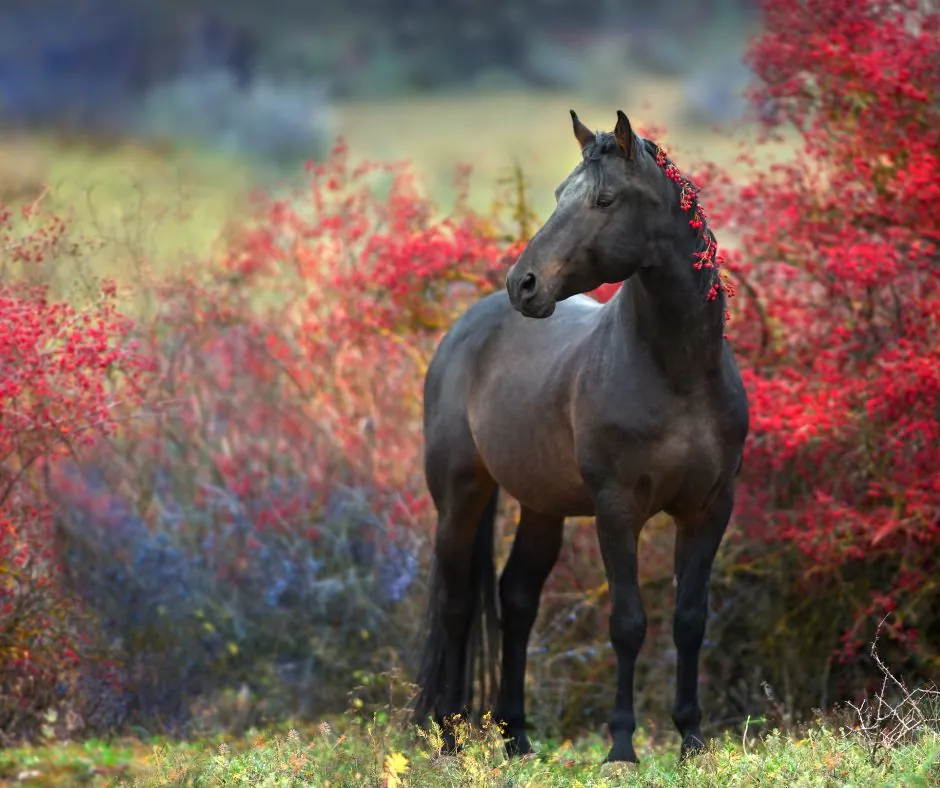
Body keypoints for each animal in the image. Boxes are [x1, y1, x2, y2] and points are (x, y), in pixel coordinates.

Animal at [413, 109, 749, 764]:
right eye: (556, 195)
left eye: (605, 199)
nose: (523, 283)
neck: (678, 375)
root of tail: (465, 328)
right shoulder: (616, 509)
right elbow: (628, 623)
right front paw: (621, 747)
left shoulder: (709, 509)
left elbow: (689, 620)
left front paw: (691, 739)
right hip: (461, 497)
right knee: (457, 604)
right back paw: (449, 738)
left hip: (541, 506)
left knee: (516, 598)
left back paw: (517, 738)